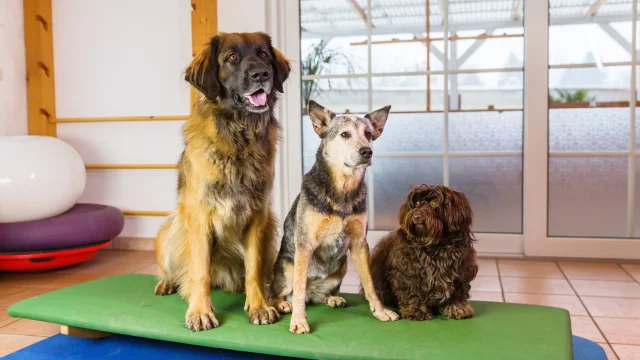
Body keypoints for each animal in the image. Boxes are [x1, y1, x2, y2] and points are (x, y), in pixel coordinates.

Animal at [155, 32, 292, 330]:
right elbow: (200, 271)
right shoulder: (199, 217)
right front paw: (200, 311)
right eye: (231, 57)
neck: (239, 138)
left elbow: (254, 269)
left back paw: (276, 298)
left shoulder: (258, 217)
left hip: (271, 229)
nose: (261, 74)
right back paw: (167, 283)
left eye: (263, 54)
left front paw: (260, 306)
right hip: (170, 231)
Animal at [270, 100, 400, 334]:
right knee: (278, 292)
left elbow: (370, 284)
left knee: (320, 295)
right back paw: (284, 303)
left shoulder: (359, 244)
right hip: (287, 267)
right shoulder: (304, 245)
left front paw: (380, 311)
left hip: (343, 265)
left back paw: (332, 298)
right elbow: (299, 289)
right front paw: (299, 320)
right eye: (345, 134)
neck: (342, 192)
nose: (367, 152)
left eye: (368, 133)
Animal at [368, 184, 478, 320]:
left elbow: (457, 293)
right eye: (417, 203)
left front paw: (457, 309)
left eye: (434, 202)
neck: (435, 246)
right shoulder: (409, 272)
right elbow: (413, 292)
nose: (417, 217)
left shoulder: (461, 272)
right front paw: (415, 311)